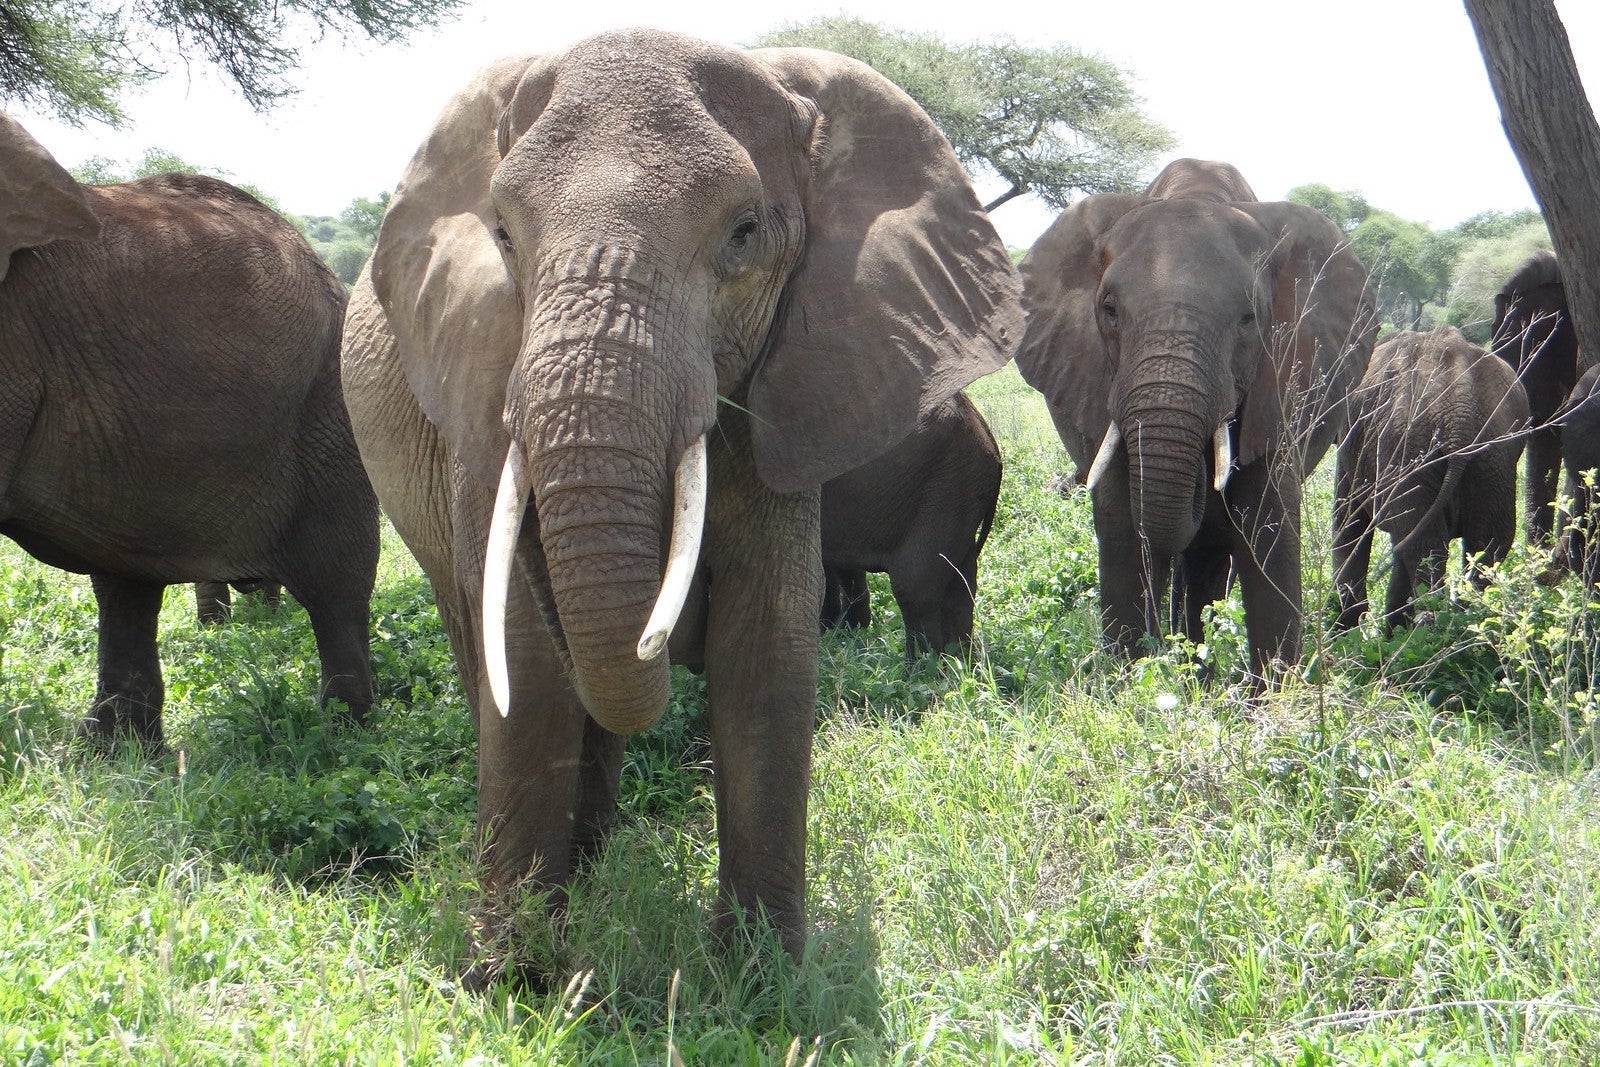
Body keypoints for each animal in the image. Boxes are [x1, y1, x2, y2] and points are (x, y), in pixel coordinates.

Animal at [819, 390, 1002, 658]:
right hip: (961, 488)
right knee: (960, 582)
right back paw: (959, 662)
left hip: (944, 486)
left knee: (914, 585)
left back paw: (924, 666)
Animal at [1016, 157, 1376, 678]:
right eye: (1109, 310)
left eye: (1248, 319)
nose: (1204, 491)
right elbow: (1123, 528)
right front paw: (1131, 681)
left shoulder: (1280, 386)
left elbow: (1267, 530)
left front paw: (1273, 692)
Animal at [1331, 327, 1529, 632]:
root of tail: (1460, 413)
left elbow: (1349, 520)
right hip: (1492, 457)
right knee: (1487, 545)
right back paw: (1462, 627)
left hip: (1413, 449)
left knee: (1426, 550)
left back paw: (1429, 630)